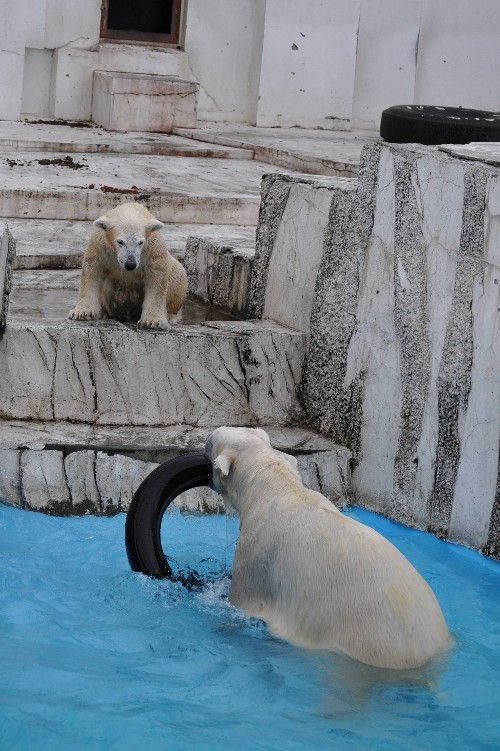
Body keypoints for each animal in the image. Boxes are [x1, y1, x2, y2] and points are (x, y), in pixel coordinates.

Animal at [205, 428, 452, 668]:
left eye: (213, 440)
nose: (207, 437)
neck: (275, 488)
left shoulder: (256, 554)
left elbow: (241, 602)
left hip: (360, 637)